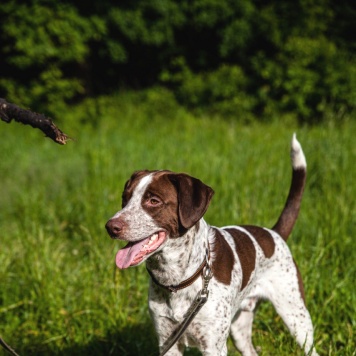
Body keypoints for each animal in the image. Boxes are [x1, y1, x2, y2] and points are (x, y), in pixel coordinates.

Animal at [105, 135, 318, 354]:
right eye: (125, 198)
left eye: (154, 200)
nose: (110, 227)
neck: (178, 280)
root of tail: (274, 233)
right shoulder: (167, 342)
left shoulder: (213, 346)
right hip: (240, 329)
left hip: (296, 316)